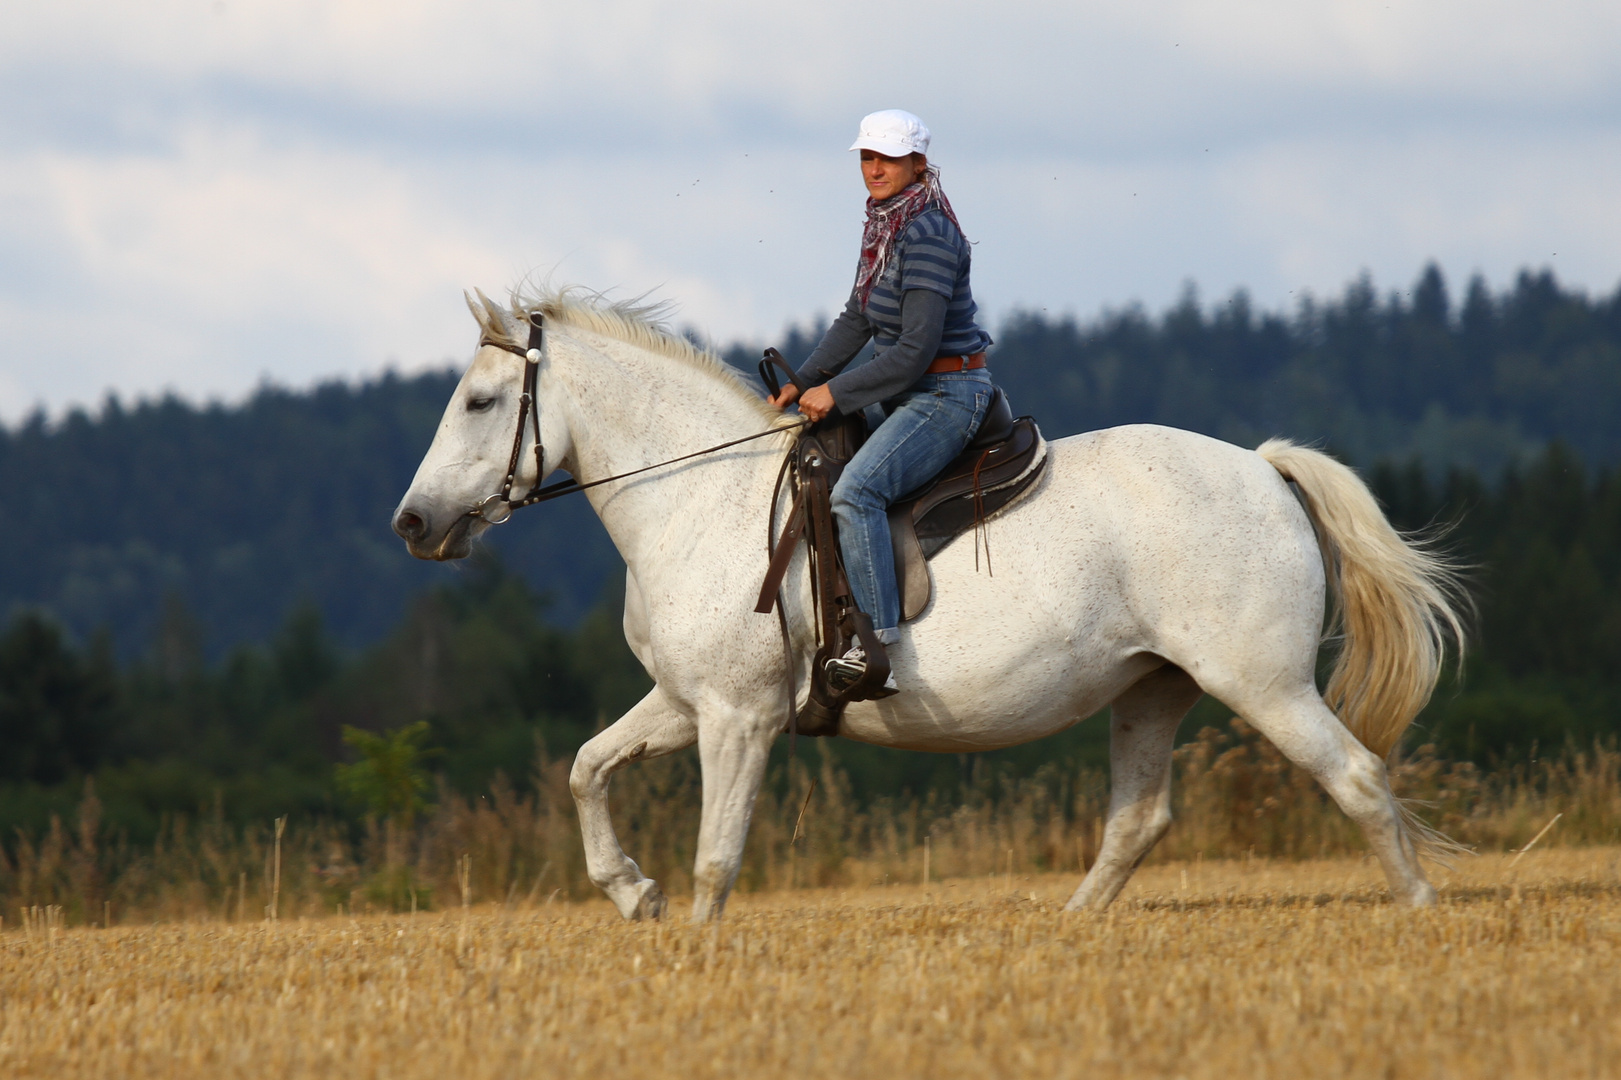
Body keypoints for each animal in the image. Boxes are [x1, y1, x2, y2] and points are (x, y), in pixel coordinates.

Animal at [395, 285, 1471, 914]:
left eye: (479, 402)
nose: (412, 523)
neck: (702, 496)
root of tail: (1261, 466)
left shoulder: (737, 718)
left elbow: (715, 856)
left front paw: (693, 938)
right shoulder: (685, 702)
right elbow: (587, 768)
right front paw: (630, 894)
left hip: (1265, 685)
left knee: (1358, 779)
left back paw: (1420, 914)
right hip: (1150, 690)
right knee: (1138, 821)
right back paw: (1070, 930)